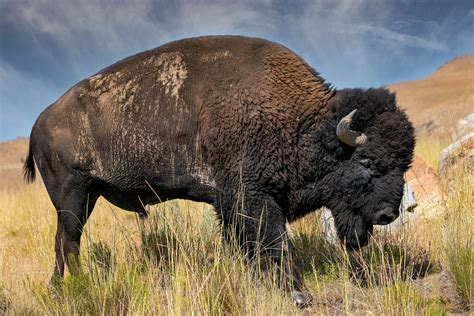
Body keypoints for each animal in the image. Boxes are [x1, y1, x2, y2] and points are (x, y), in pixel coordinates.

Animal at [23, 35, 414, 304]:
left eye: (405, 162)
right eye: (366, 161)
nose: (388, 214)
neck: (304, 125)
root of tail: (39, 121)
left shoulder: (230, 204)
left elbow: (246, 247)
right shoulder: (253, 199)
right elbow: (275, 243)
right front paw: (297, 294)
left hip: (85, 198)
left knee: (61, 241)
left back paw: (59, 289)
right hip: (73, 193)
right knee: (70, 242)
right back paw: (82, 286)